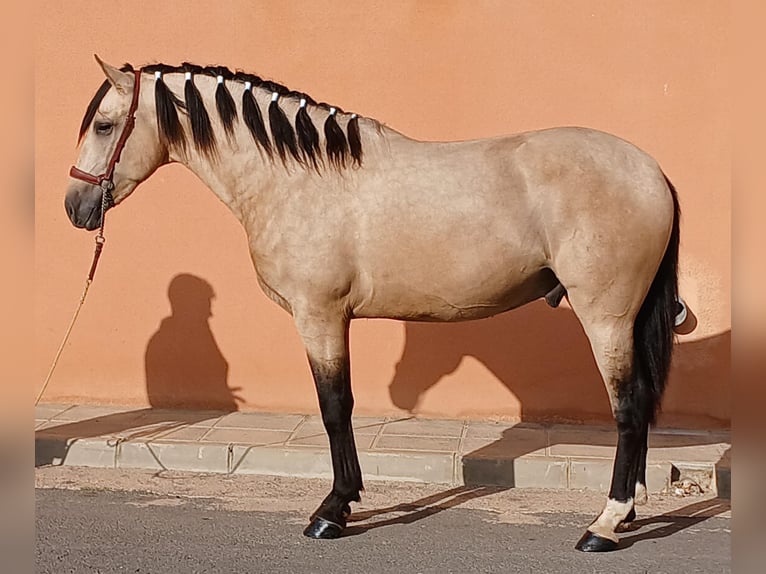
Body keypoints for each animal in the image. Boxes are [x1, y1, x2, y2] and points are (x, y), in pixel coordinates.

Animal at [63, 58, 680, 552]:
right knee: (641, 404)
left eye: (104, 125)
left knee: (628, 409)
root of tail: (651, 171)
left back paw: (604, 525)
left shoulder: (319, 315)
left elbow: (335, 408)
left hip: (606, 318)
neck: (297, 180)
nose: (76, 206)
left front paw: (331, 512)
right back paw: (629, 514)